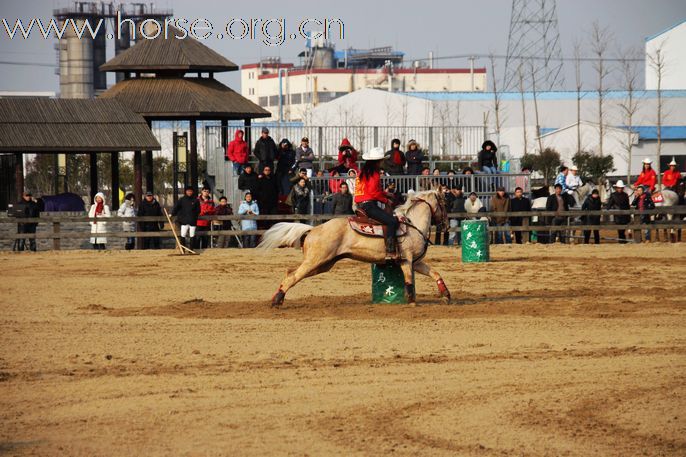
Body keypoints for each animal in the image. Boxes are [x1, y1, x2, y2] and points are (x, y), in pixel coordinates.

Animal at [258, 189, 452, 306]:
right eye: (444, 203)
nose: (446, 226)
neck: (413, 225)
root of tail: (314, 229)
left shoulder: (416, 262)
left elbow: (435, 273)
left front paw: (447, 295)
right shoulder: (406, 260)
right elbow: (409, 282)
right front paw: (412, 302)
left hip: (323, 264)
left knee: (290, 272)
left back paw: (279, 297)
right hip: (315, 261)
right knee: (293, 276)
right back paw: (276, 300)